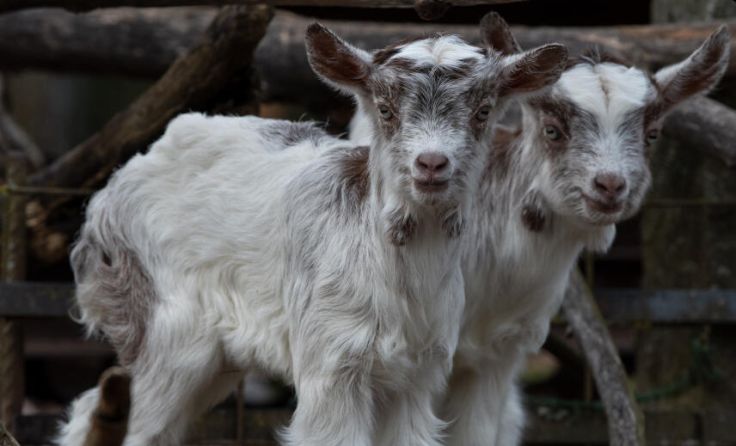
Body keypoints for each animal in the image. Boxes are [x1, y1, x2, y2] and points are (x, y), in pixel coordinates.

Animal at [58, 18, 568, 446]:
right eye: (385, 109)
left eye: (483, 111)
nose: (431, 164)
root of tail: (105, 202)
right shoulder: (331, 360)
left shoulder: (420, 373)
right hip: (165, 332)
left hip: (214, 357)